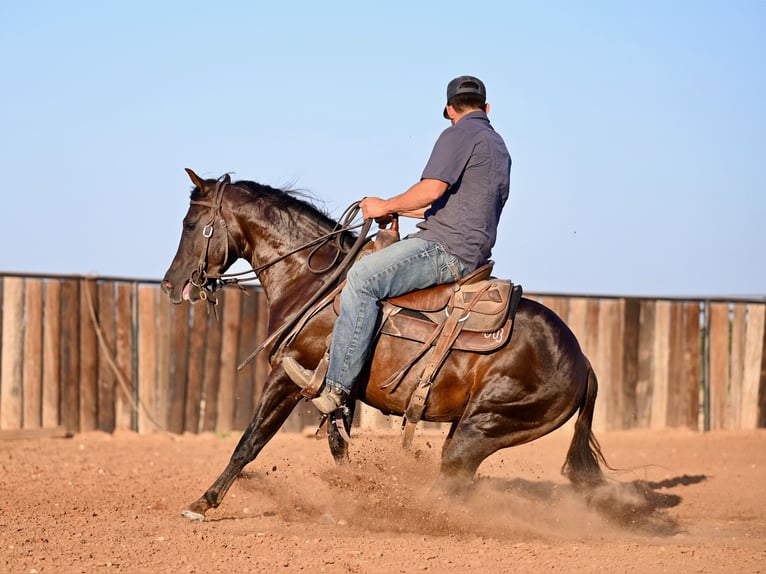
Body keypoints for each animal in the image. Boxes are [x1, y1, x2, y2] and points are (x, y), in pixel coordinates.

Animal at [164, 169, 612, 524]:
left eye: (190, 223)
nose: (171, 283)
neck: (311, 281)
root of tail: (583, 361)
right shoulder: (339, 392)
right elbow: (338, 449)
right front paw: (346, 499)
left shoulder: (288, 377)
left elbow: (249, 443)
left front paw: (202, 503)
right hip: (473, 429)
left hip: (484, 426)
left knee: (450, 481)